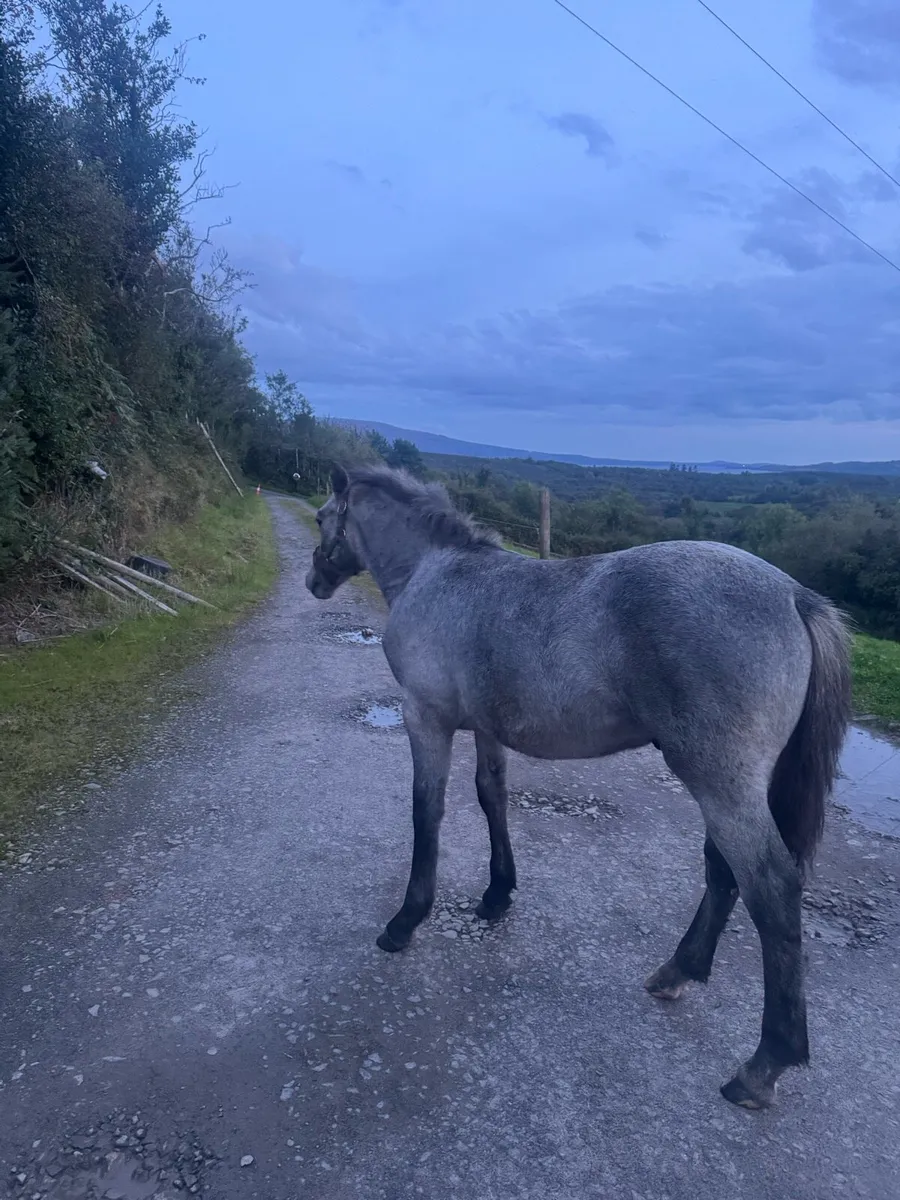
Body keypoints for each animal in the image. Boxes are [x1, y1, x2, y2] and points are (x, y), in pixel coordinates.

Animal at [305, 464, 851, 1110]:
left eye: (324, 517)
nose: (314, 579)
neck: (435, 573)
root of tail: (795, 596)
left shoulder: (425, 719)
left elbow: (427, 811)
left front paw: (406, 921)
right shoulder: (485, 727)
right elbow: (491, 796)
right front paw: (497, 895)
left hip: (721, 783)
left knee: (768, 887)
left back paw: (764, 1064)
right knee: (724, 874)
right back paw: (677, 973)